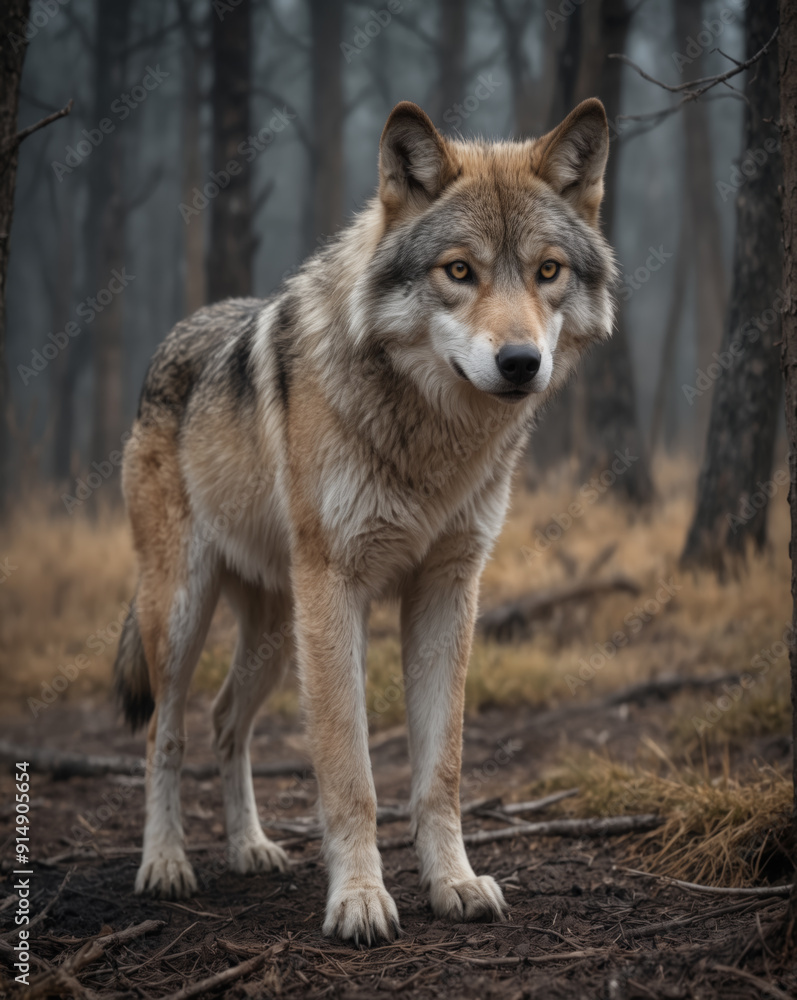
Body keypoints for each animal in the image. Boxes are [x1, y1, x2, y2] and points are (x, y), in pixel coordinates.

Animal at [114, 98, 615, 945]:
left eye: (546, 271)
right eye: (458, 271)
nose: (520, 363)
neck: (432, 439)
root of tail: (173, 338)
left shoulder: (448, 589)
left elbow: (439, 770)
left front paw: (454, 883)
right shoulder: (336, 591)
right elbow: (349, 774)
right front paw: (357, 899)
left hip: (277, 635)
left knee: (226, 720)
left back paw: (250, 848)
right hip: (184, 613)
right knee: (166, 731)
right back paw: (164, 864)